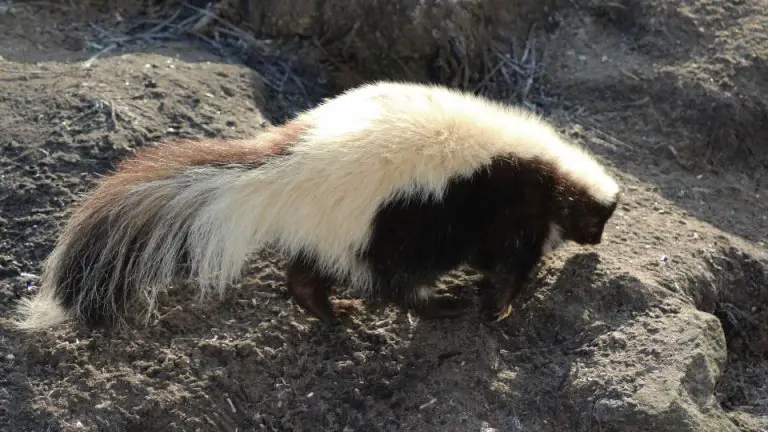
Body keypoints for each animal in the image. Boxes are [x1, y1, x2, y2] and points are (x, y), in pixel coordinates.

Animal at [13, 81, 616, 330]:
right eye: (597, 219)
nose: (596, 241)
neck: (555, 170)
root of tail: (294, 165)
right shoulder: (507, 204)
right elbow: (509, 261)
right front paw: (498, 306)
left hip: (342, 224)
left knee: (306, 274)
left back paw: (328, 313)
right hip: (391, 220)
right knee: (391, 277)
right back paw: (439, 306)